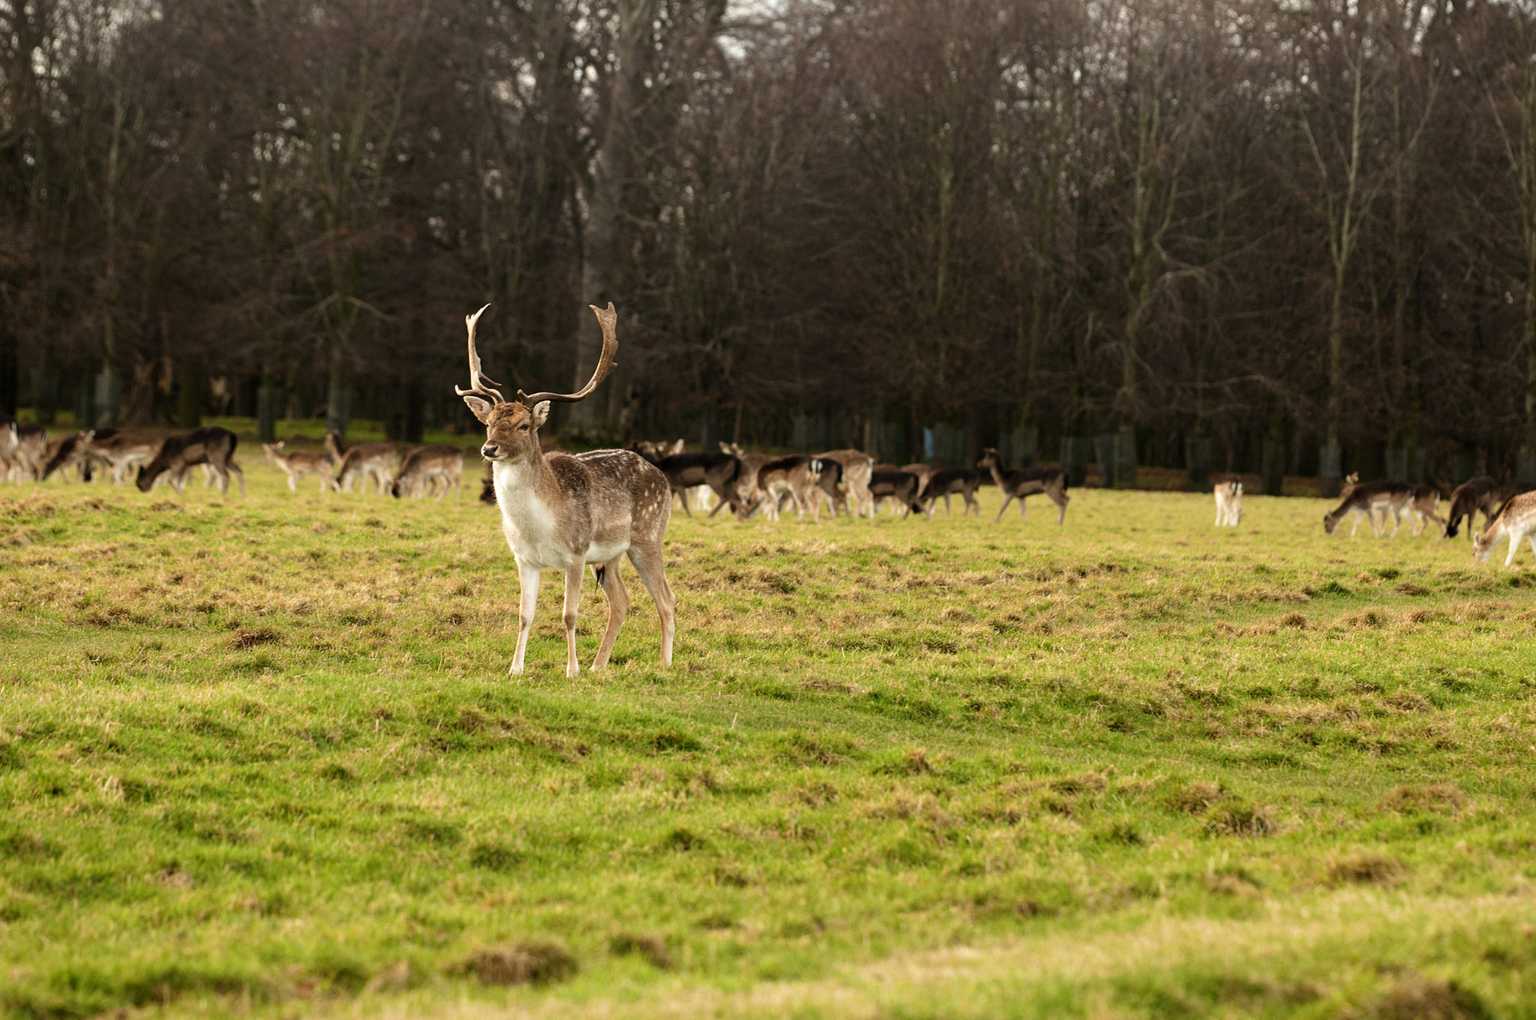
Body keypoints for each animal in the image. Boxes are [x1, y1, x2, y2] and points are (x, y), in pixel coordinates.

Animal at [457, 302, 675, 677]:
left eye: (524, 425)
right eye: (489, 423)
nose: (489, 449)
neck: (538, 527)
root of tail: (662, 476)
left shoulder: (576, 553)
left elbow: (569, 615)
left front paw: (571, 670)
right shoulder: (524, 559)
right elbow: (524, 615)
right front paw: (515, 669)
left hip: (648, 536)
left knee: (666, 600)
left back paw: (664, 664)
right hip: (610, 556)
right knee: (622, 601)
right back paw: (598, 666)